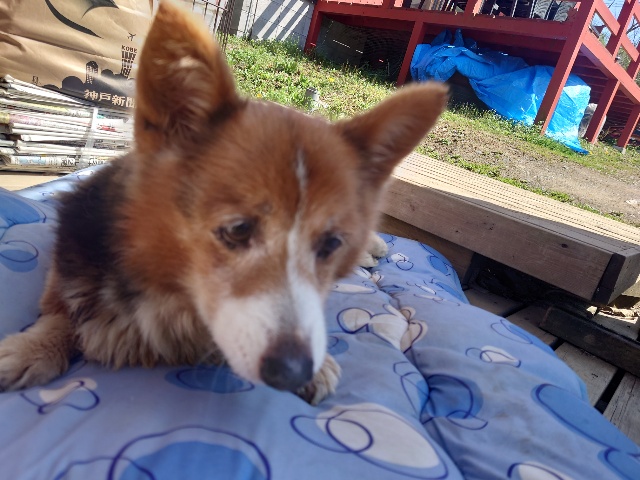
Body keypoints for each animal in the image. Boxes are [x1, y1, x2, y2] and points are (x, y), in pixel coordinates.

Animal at [0, 1, 447, 404]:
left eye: (331, 245)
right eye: (237, 230)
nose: (292, 373)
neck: (170, 294)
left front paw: (320, 368)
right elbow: (59, 311)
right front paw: (31, 348)